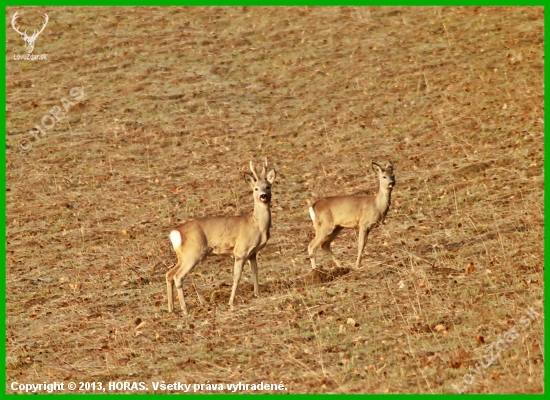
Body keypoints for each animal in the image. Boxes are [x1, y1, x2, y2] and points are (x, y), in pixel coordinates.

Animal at [164, 158, 276, 314]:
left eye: (268, 187)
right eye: (255, 189)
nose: (263, 196)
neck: (257, 224)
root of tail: (175, 232)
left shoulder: (252, 253)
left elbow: (255, 271)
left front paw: (257, 294)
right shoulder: (240, 251)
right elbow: (236, 276)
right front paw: (231, 302)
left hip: (182, 256)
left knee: (168, 274)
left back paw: (171, 309)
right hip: (194, 252)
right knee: (178, 276)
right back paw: (185, 309)